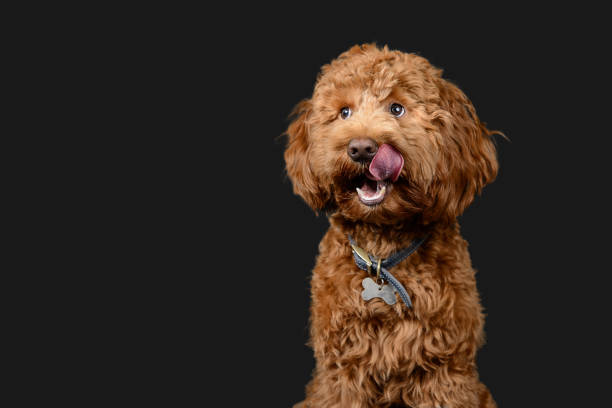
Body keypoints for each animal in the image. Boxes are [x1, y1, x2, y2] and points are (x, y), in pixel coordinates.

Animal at [284, 43, 500, 406]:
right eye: (344, 112)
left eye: (396, 109)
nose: (361, 148)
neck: (382, 254)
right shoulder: (341, 373)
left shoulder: (444, 373)